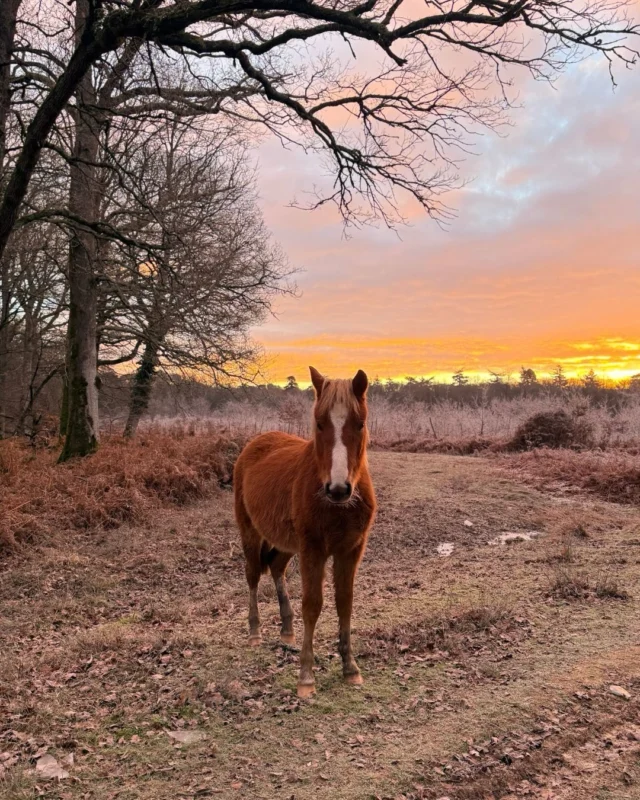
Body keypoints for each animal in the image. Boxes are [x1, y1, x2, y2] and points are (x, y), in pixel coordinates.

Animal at [233, 366, 377, 698]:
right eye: (320, 424)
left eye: (360, 423)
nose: (338, 489)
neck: (338, 506)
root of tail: (254, 445)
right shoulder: (313, 551)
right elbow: (313, 605)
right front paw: (306, 677)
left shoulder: (351, 551)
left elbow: (345, 602)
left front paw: (350, 668)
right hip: (251, 534)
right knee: (252, 576)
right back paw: (255, 631)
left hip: (286, 545)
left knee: (275, 568)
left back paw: (287, 630)